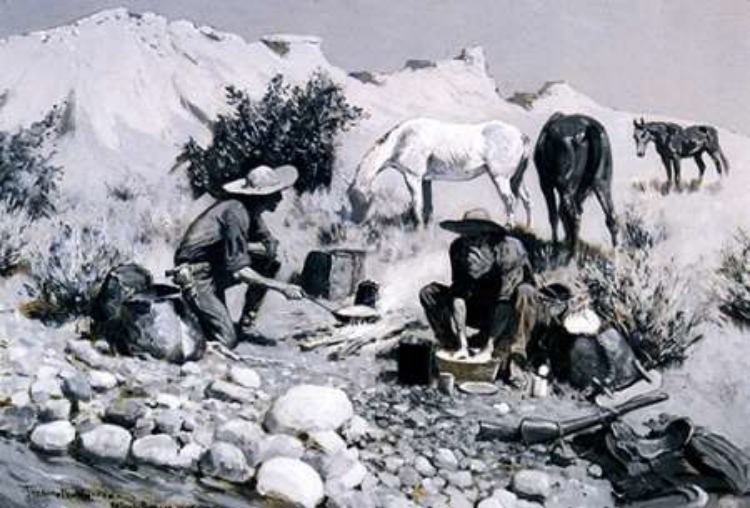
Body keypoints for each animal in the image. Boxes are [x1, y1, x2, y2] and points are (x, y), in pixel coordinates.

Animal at [348, 116, 536, 227]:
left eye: (359, 202)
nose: (355, 225)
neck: (402, 140)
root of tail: (520, 135)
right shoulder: (426, 180)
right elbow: (428, 207)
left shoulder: (412, 177)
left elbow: (417, 205)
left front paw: (418, 230)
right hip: (515, 179)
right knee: (526, 200)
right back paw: (527, 228)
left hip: (501, 178)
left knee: (510, 200)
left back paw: (508, 227)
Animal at [536, 111, 620, 254]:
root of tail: (588, 127)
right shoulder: (582, 191)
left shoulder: (545, 183)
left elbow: (554, 215)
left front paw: (555, 246)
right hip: (602, 182)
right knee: (611, 217)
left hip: (565, 184)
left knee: (574, 216)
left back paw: (572, 253)